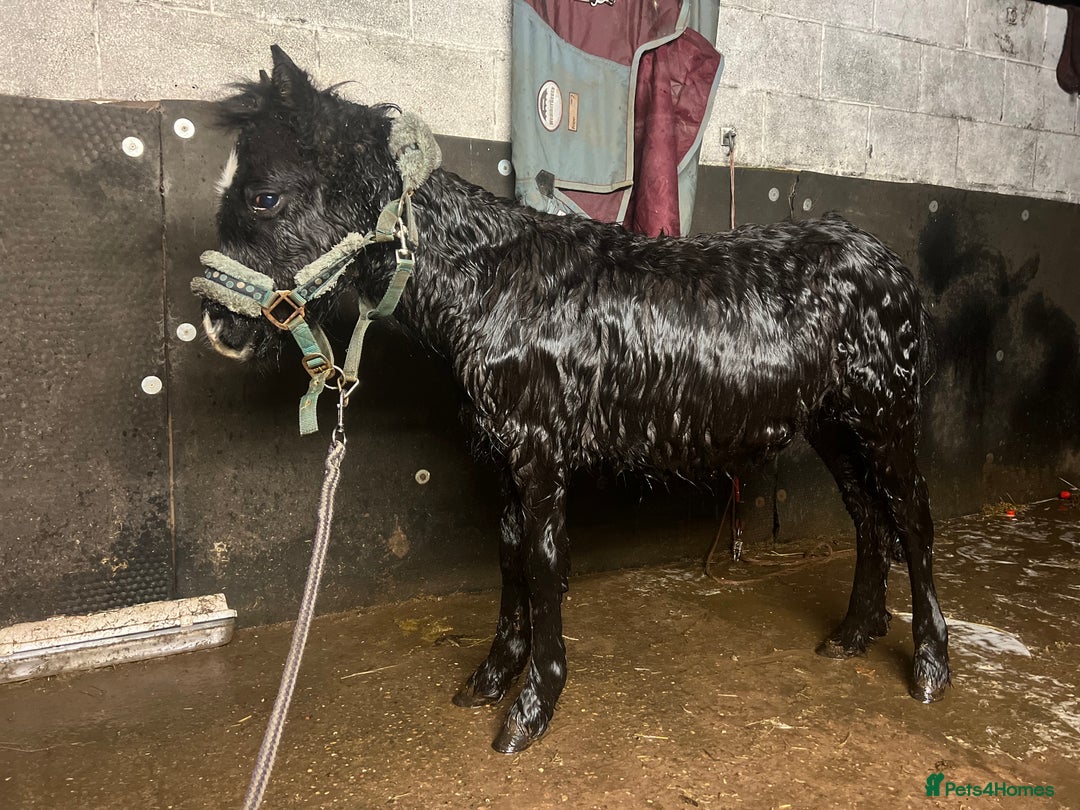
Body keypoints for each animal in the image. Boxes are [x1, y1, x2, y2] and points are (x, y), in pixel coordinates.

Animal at [195, 46, 950, 753]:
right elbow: (509, 558)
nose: (219, 327)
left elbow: (543, 562)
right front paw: (491, 678)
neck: (497, 287)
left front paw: (531, 708)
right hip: (833, 424)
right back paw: (853, 633)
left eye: (264, 198)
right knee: (868, 517)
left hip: (885, 415)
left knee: (911, 518)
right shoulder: (499, 456)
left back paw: (931, 668)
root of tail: (886, 262)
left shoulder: (541, 452)